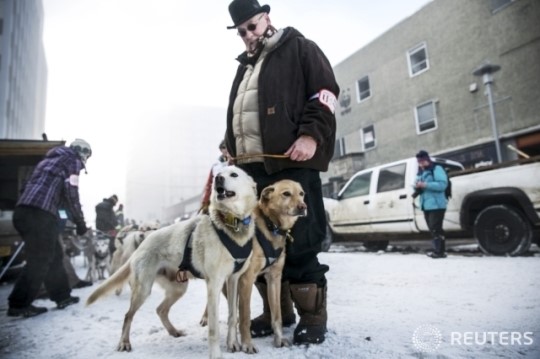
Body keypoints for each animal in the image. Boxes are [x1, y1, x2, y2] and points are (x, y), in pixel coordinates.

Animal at [86, 167, 258, 358]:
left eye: (234, 174)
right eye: (218, 174)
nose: (218, 179)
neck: (231, 222)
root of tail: (142, 241)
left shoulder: (233, 279)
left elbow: (233, 316)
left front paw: (233, 343)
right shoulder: (214, 284)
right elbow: (213, 327)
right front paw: (215, 354)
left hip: (178, 288)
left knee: (160, 310)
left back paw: (173, 331)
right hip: (143, 290)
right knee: (128, 315)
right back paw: (124, 342)